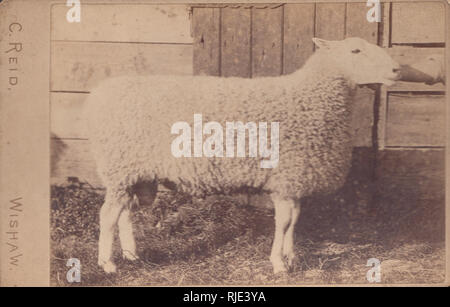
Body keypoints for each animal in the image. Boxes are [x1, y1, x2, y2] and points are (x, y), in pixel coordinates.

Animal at [86, 37, 400, 276]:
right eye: (355, 51)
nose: (397, 69)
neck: (310, 97)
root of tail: (99, 95)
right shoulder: (284, 178)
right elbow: (283, 222)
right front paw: (278, 264)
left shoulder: (293, 179)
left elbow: (294, 221)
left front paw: (292, 258)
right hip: (120, 166)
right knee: (107, 215)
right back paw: (108, 264)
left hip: (135, 173)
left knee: (124, 212)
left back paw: (131, 255)